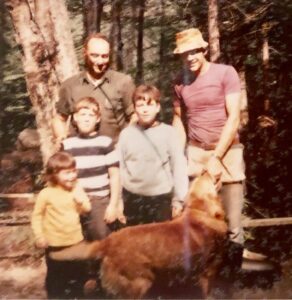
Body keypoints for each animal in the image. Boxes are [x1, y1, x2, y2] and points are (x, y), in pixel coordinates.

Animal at [50, 172, 228, 298]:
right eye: (205, 179)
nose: (205, 170)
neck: (200, 213)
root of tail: (108, 242)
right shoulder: (208, 272)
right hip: (140, 282)